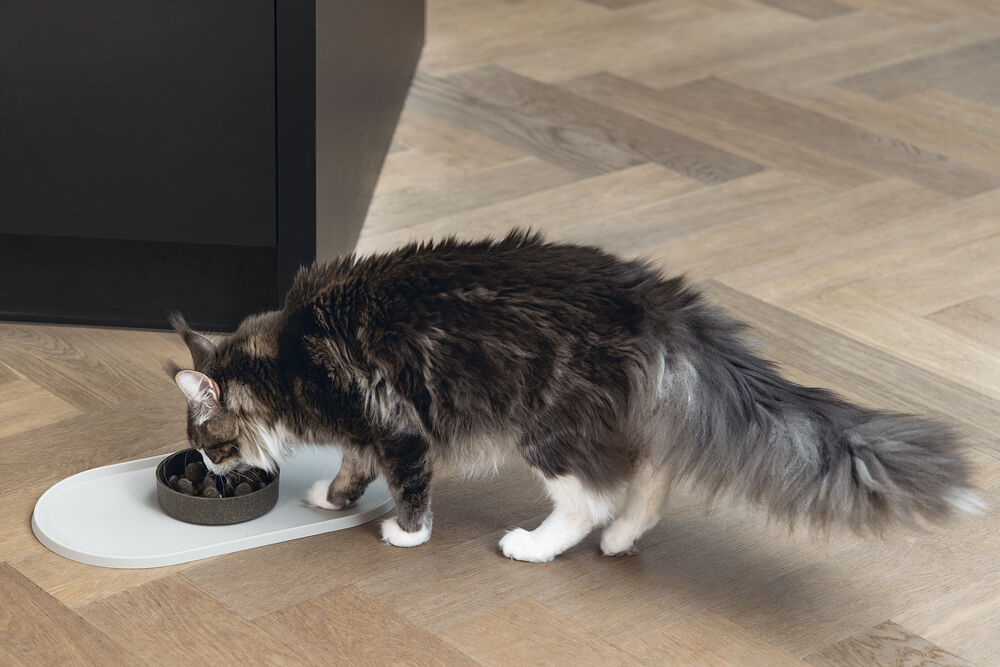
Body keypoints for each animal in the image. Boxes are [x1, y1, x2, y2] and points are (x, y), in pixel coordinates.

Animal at [167, 230, 982, 562]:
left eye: (211, 444)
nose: (210, 472)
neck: (286, 358)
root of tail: (658, 303)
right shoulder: (370, 431)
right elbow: (350, 471)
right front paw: (330, 500)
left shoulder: (398, 427)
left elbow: (406, 487)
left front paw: (405, 534)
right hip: (606, 420)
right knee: (651, 475)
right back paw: (625, 539)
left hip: (545, 427)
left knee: (590, 499)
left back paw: (535, 545)